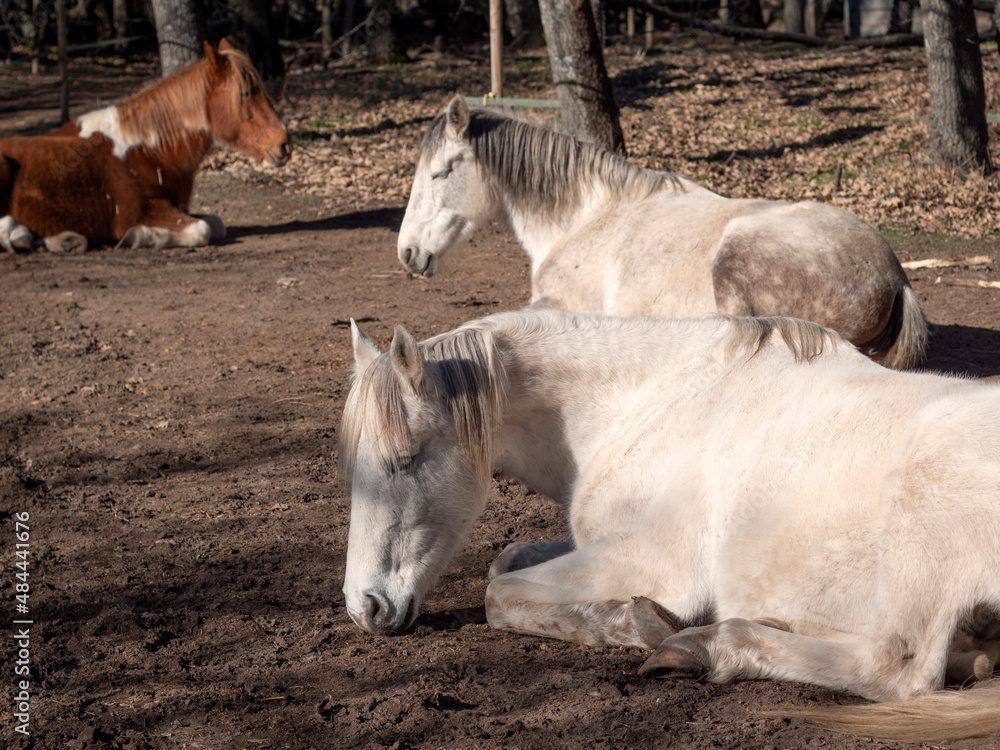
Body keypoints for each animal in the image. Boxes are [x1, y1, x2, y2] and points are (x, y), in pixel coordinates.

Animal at [0, 40, 290, 254]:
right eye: (245, 94)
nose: (284, 144)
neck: (147, 151)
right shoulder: (146, 211)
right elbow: (202, 230)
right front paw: (142, 236)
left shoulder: (179, 208)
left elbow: (216, 223)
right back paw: (22, 235)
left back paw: (61, 240)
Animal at [341, 309, 1000, 743]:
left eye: (406, 459)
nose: (364, 606)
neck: (645, 402)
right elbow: (506, 559)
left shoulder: (648, 561)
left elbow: (498, 594)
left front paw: (631, 623)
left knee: (898, 668)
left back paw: (704, 645)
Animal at [396, 96, 927, 370]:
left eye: (440, 173)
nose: (407, 252)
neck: (585, 214)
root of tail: (896, 278)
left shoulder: (555, 304)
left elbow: (480, 324)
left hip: (737, 258)